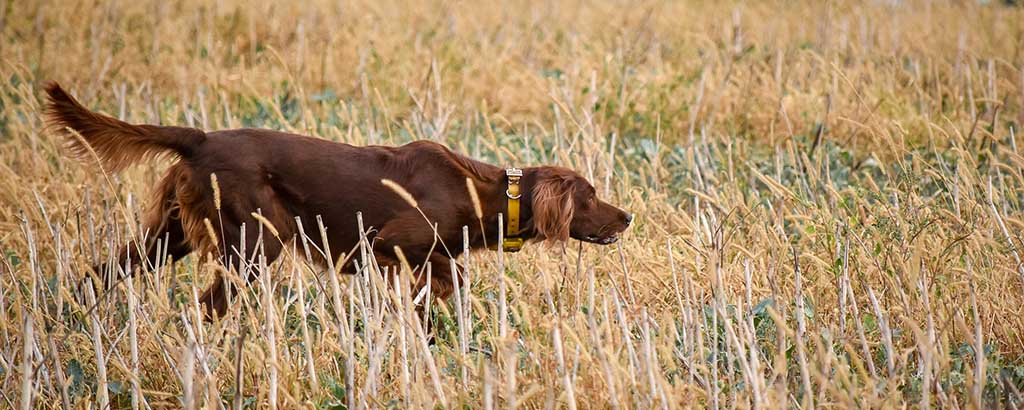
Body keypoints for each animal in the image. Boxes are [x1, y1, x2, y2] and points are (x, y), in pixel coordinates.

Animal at [46, 81, 630, 317]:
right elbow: (449, 275)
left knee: (102, 271)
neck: (480, 188)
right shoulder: (387, 244)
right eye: (591, 195)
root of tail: (200, 137)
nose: (627, 217)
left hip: (173, 235)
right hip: (255, 242)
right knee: (209, 303)